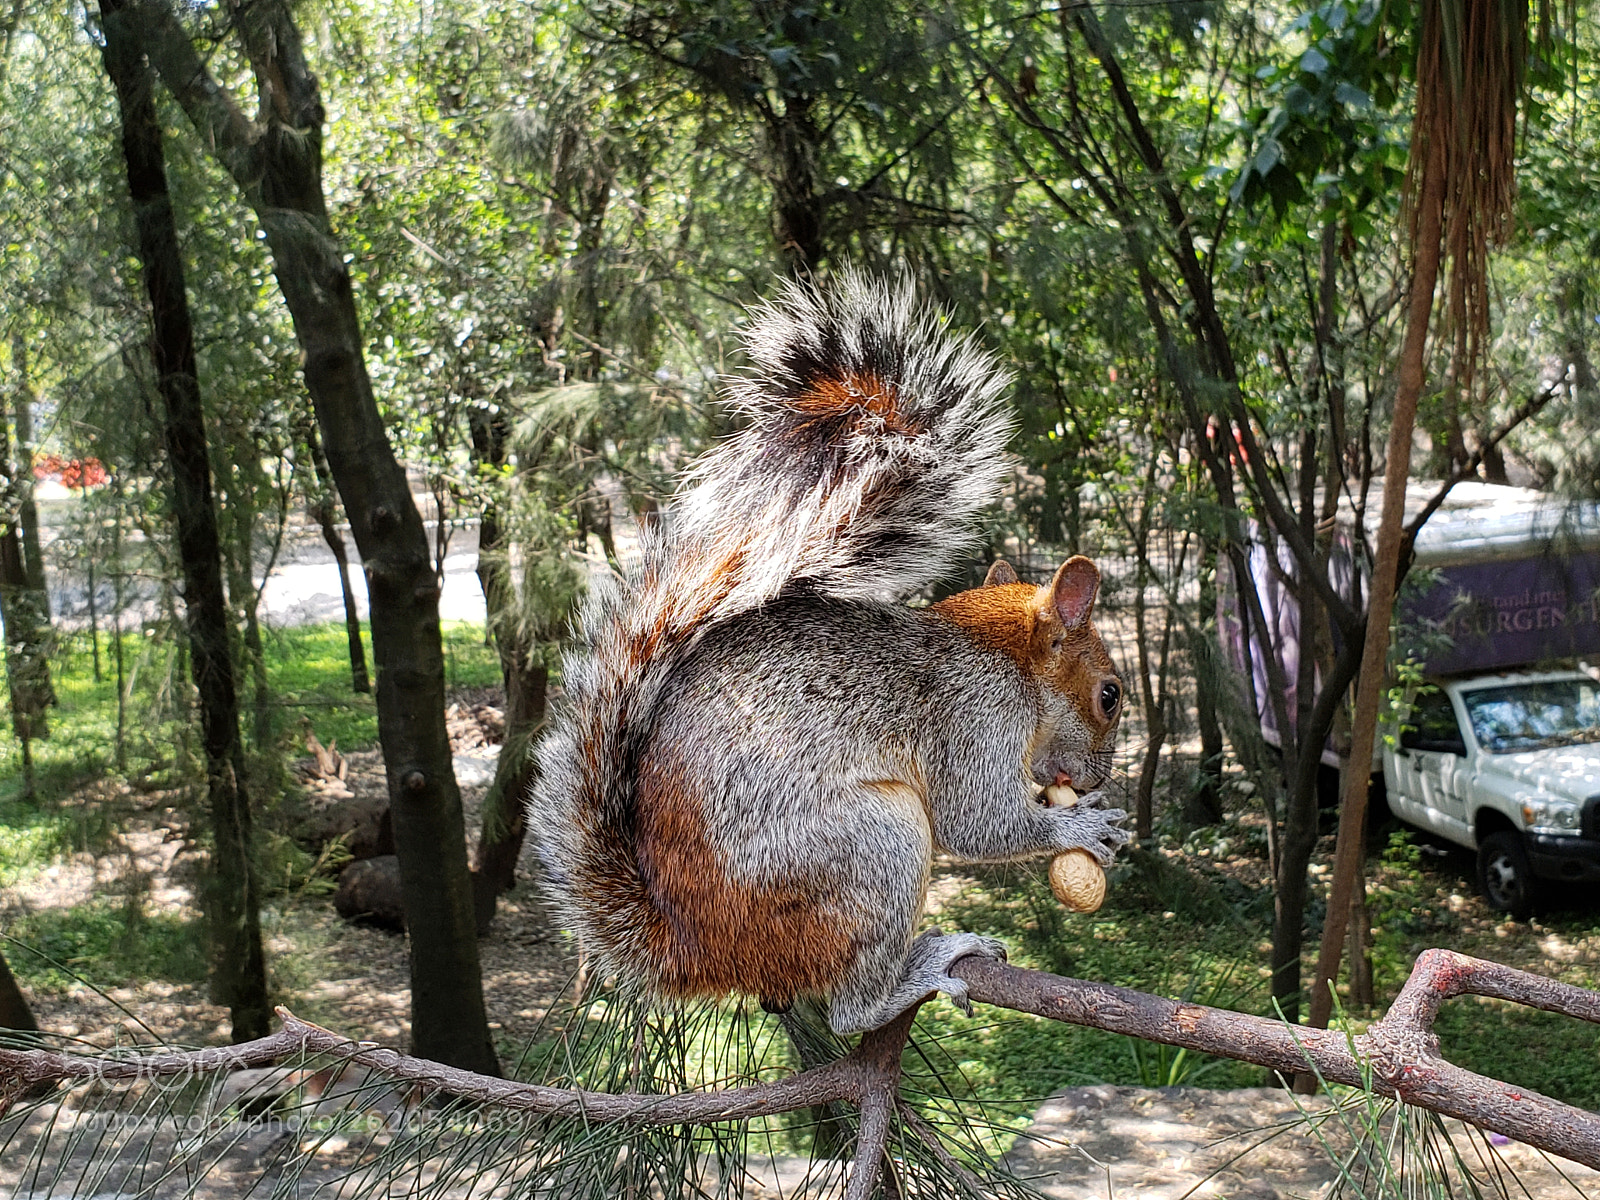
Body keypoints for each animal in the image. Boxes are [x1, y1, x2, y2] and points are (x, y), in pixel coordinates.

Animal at [532, 270, 1130, 1035]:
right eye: (1109, 695)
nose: (1092, 778)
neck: (1003, 657)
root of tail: (695, 946)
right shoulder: (974, 717)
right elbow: (978, 822)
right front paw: (1079, 822)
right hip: (871, 846)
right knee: (849, 1008)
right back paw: (913, 973)